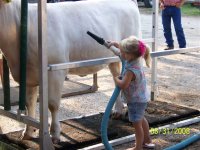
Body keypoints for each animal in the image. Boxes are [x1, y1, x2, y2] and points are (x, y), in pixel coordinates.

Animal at [0, 0, 141, 143]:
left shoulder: (55, 71)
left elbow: (53, 104)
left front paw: (54, 134)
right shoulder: (28, 76)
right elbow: (30, 103)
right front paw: (28, 132)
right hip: (114, 59)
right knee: (117, 78)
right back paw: (118, 111)